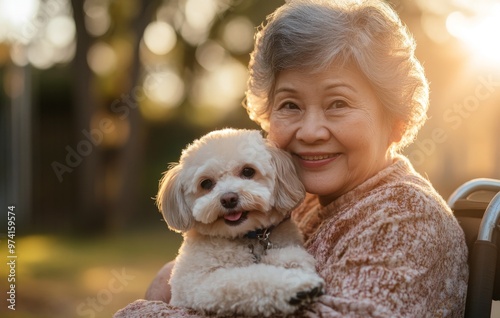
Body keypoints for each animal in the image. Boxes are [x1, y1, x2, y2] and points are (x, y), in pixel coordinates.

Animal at [158, 128, 326, 316]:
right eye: (206, 183)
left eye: (248, 171)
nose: (229, 199)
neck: (246, 237)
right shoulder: (199, 283)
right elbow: (250, 278)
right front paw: (297, 286)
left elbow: (289, 254)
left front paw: (291, 260)